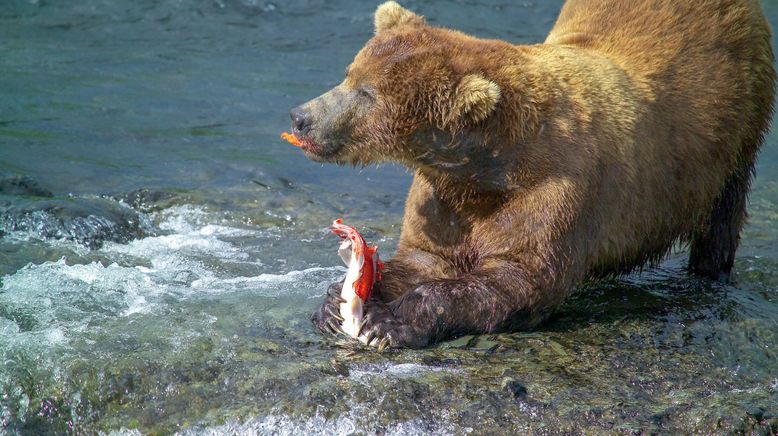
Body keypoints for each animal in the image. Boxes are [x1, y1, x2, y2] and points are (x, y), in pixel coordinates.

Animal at [292, 0, 776, 348]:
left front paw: (386, 321)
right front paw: (335, 301)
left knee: (723, 215)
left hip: (736, 125)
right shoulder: (444, 196)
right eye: (350, 73)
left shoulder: (553, 189)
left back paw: (707, 276)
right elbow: (423, 257)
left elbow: (520, 277)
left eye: (368, 93)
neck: (488, 166)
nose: (301, 118)